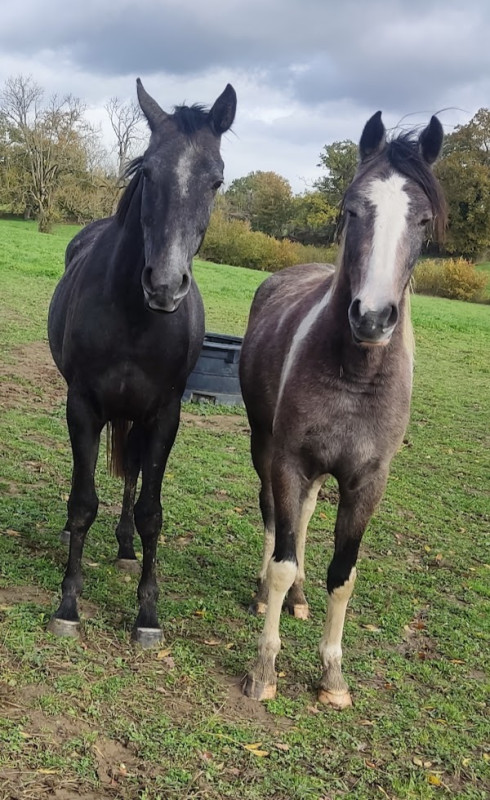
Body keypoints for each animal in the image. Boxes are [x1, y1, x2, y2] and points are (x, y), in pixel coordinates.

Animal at [47, 79, 236, 646]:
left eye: (217, 180)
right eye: (149, 171)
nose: (165, 285)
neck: (136, 317)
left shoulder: (164, 415)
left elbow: (151, 509)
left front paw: (148, 614)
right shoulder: (83, 406)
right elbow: (83, 501)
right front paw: (68, 602)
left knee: (131, 474)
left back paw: (127, 546)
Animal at [239, 111, 446, 707]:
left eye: (423, 220)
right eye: (353, 209)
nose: (372, 317)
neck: (356, 377)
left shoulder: (366, 481)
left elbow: (343, 574)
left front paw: (332, 675)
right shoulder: (289, 461)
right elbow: (282, 559)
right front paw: (264, 668)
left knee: (305, 522)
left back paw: (302, 599)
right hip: (265, 446)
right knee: (276, 521)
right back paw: (266, 594)